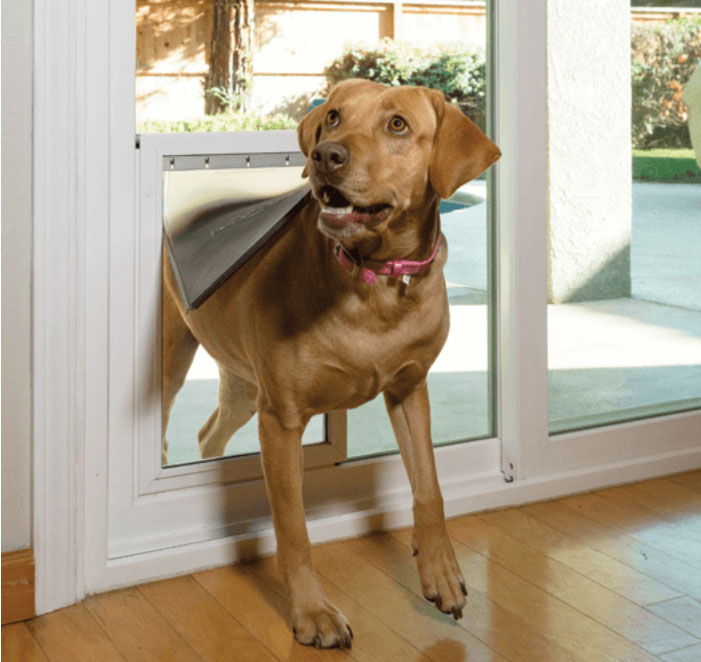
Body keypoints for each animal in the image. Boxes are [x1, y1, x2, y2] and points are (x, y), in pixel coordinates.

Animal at [160, 79, 498, 652]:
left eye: (398, 125)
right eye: (334, 117)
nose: (325, 157)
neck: (376, 283)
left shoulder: (410, 391)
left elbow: (429, 487)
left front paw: (441, 573)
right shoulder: (282, 419)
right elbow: (295, 529)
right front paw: (312, 614)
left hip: (243, 385)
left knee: (209, 432)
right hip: (174, 359)